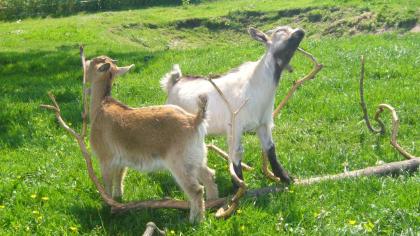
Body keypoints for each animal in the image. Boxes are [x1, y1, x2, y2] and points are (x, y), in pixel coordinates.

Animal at [85, 55, 217, 223]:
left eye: (93, 62)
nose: (85, 61)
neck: (101, 106)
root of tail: (195, 120)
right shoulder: (121, 159)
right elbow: (119, 178)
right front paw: (118, 198)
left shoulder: (105, 158)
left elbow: (106, 183)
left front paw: (107, 206)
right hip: (196, 157)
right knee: (209, 175)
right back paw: (213, 204)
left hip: (180, 162)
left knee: (196, 190)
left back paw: (195, 220)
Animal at [162, 25, 306, 189]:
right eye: (280, 31)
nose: (301, 31)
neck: (255, 85)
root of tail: (174, 82)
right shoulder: (235, 126)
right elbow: (236, 154)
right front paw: (238, 185)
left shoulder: (263, 124)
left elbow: (270, 149)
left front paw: (285, 177)